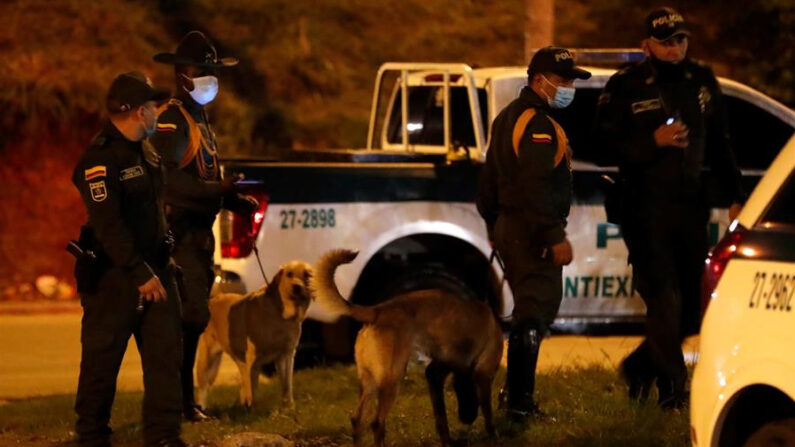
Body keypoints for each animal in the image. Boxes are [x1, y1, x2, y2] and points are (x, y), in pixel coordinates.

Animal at [196, 260, 314, 412]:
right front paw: (254, 410)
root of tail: (211, 300)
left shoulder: (286, 356)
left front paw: (289, 407)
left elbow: (287, 385)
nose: (297, 287)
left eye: (307, 275)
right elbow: (253, 389)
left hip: (237, 358)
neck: (280, 314)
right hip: (207, 361)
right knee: (203, 388)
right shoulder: (253, 359)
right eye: (289, 274)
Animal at [312, 248, 504, 447]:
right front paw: (494, 437)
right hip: (392, 380)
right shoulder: (483, 375)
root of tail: (377, 310)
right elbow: (488, 413)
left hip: (369, 381)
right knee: (376, 422)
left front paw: (447, 441)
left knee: (357, 419)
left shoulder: (436, 373)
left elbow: (441, 418)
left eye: (461, 390)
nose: (466, 419)